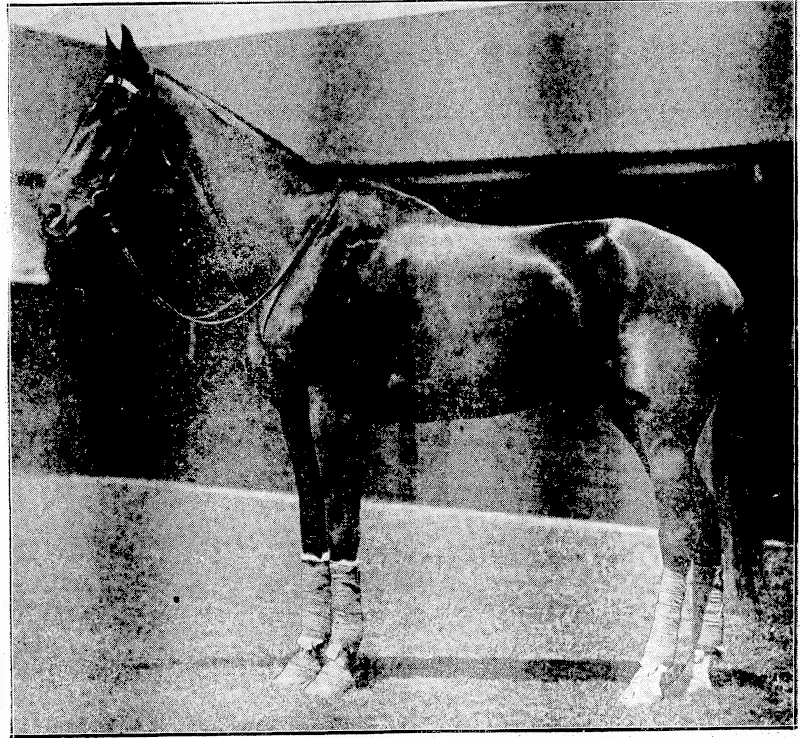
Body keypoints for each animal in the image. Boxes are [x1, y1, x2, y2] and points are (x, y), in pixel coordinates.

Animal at [39, 28, 764, 704]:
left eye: (111, 115)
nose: (50, 209)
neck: (303, 245)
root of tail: (723, 281)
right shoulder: (295, 412)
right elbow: (313, 526)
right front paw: (305, 659)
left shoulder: (334, 409)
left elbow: (343, 527)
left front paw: (337, 667)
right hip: (677, 432)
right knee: (711, 531)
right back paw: (698, 671)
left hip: (661, 434)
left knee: (684, 535)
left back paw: (650, 676)